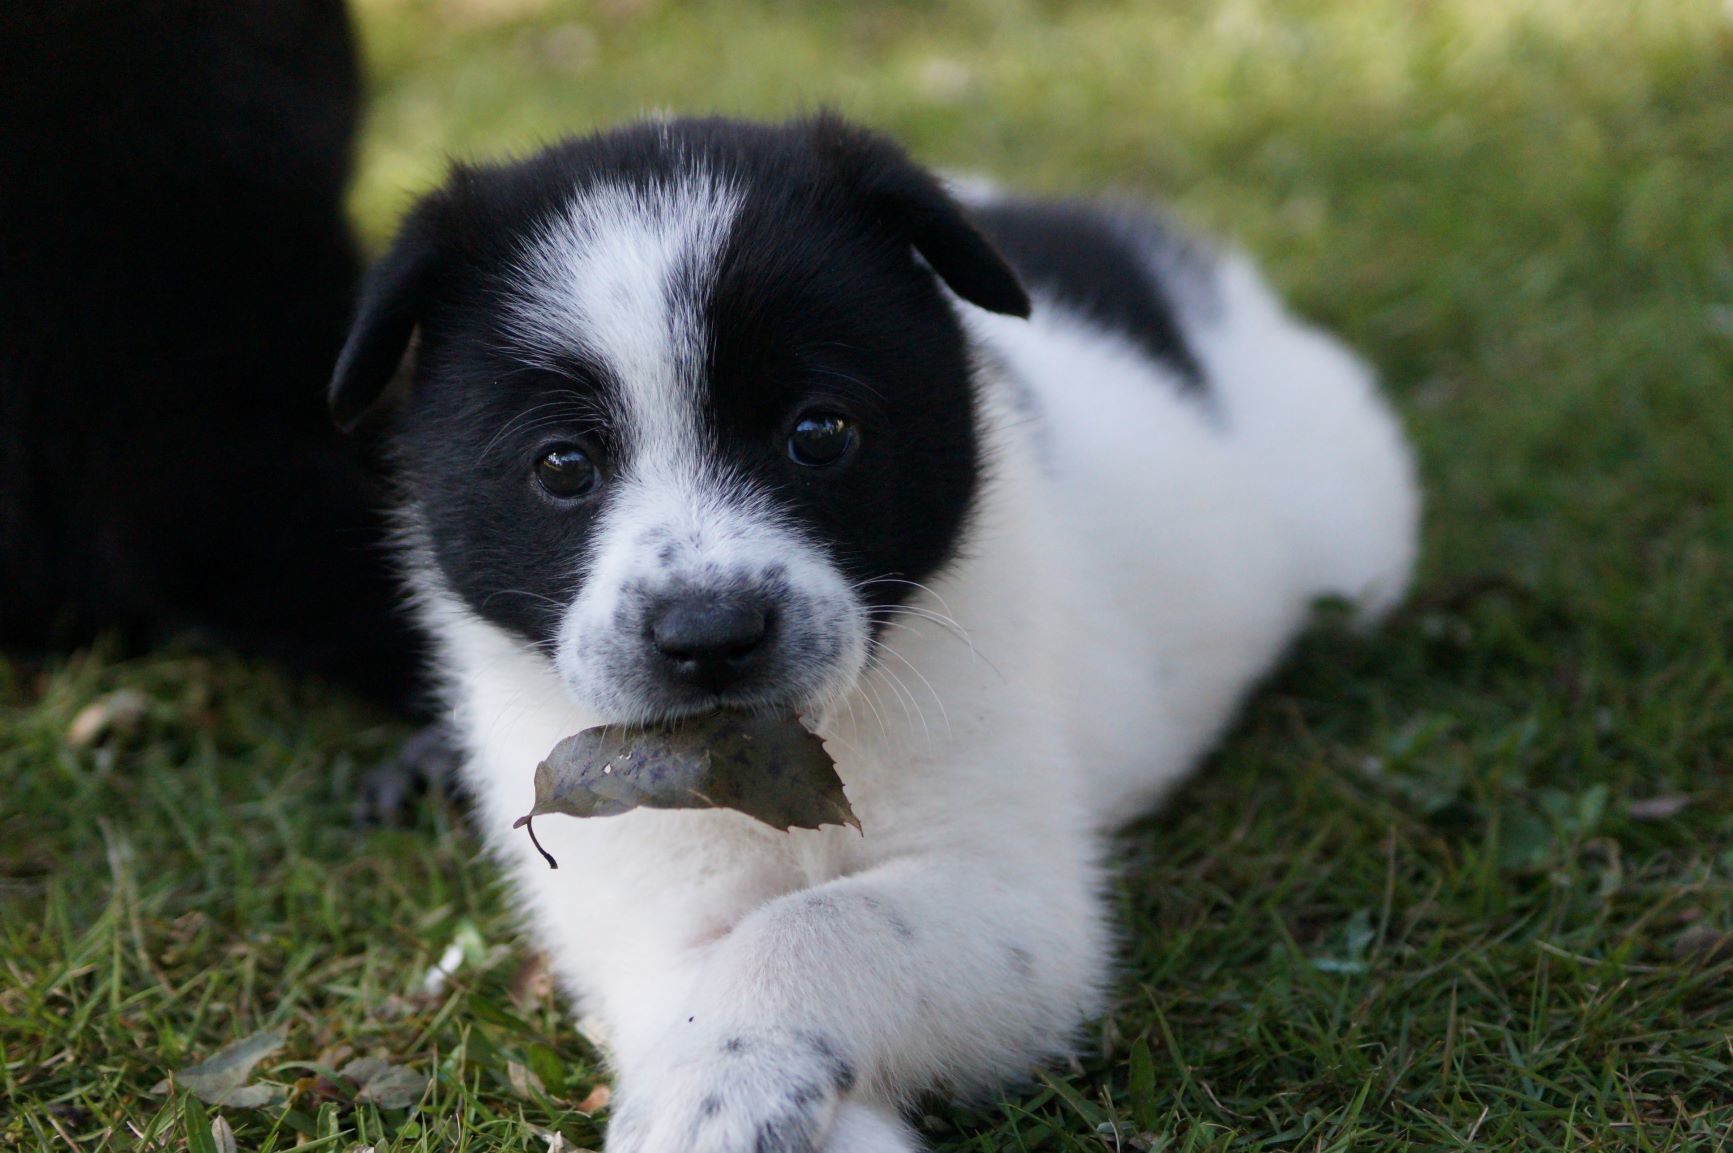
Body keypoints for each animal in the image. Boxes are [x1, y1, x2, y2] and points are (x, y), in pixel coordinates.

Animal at [334, 117, 1421, 1151]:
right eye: (561, 466)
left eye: (819, 433)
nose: (710, 635)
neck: (768, 757)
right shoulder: (651, 902)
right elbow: (711, 970)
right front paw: (722, 1085)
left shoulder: (1014, 901)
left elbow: (817, 922)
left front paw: (718, 1083)